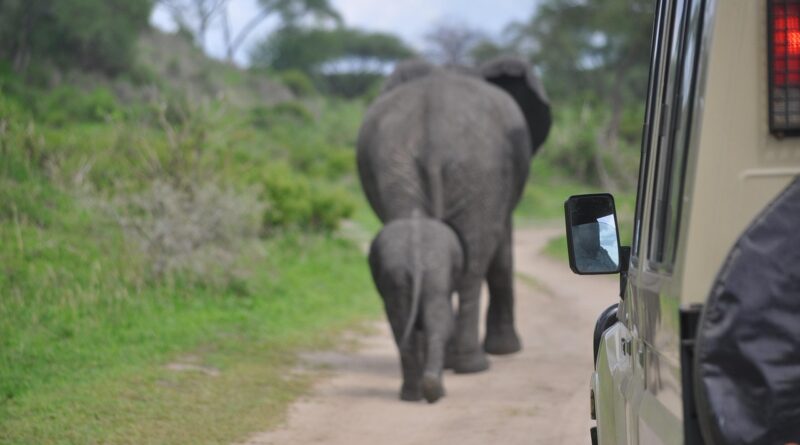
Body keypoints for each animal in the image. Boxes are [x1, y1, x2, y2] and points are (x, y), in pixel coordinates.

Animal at [358, 56, 551, 402]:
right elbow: (502, 253)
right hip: (483, 170)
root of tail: (433, 134)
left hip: (396, 162)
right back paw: (472, 365)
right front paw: (507, 350)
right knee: (476, 262)